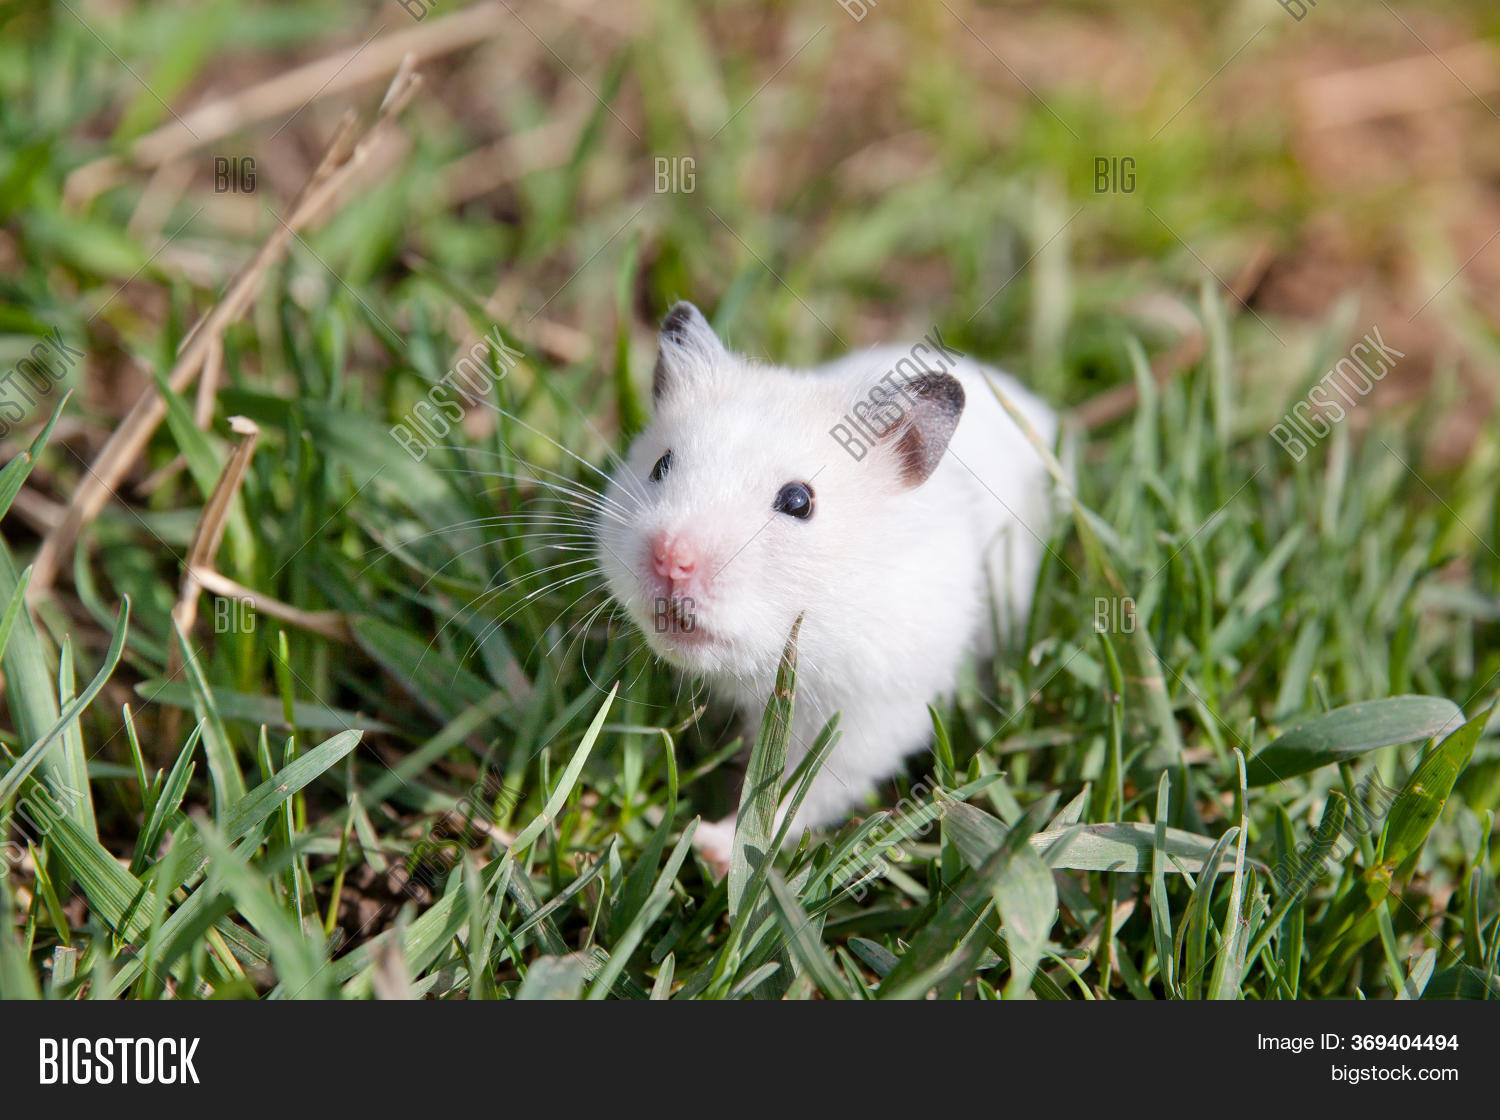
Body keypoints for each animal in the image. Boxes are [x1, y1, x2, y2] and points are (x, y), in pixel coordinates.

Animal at [595, 302, 1062, 867]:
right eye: (660, 465)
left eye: (799, 501)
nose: (670, 559)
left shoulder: (869, 715)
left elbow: (796, 795)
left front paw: (711, 848)